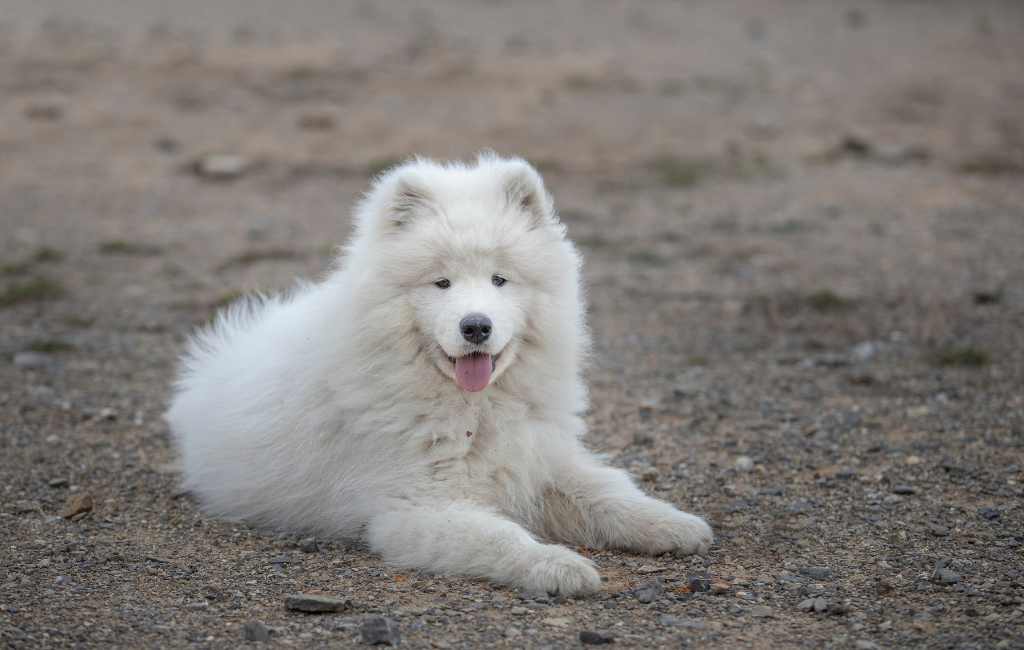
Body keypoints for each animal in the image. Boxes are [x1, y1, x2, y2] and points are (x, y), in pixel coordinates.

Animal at [167, 153, 712, 593]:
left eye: (499, 279)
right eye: (441, 282)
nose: (475, 326)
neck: (476, 408)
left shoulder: (541, 458)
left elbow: (608, 492)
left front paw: (673, 525)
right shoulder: (415, 508)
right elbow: (501, 536)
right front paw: (557, 566)